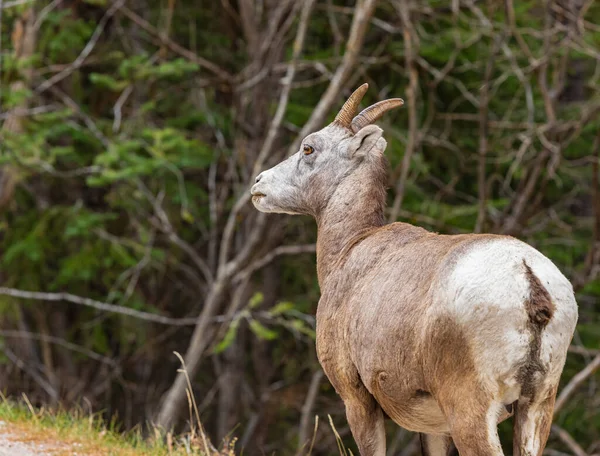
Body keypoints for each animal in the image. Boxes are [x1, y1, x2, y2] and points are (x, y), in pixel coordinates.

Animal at [250, 83, 576, 454]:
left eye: (309, 147)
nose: (258, 183)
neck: (350, 250)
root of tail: (529, 282)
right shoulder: (434, 427)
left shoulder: (356, 399)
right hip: (536, 408)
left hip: (471, 412)